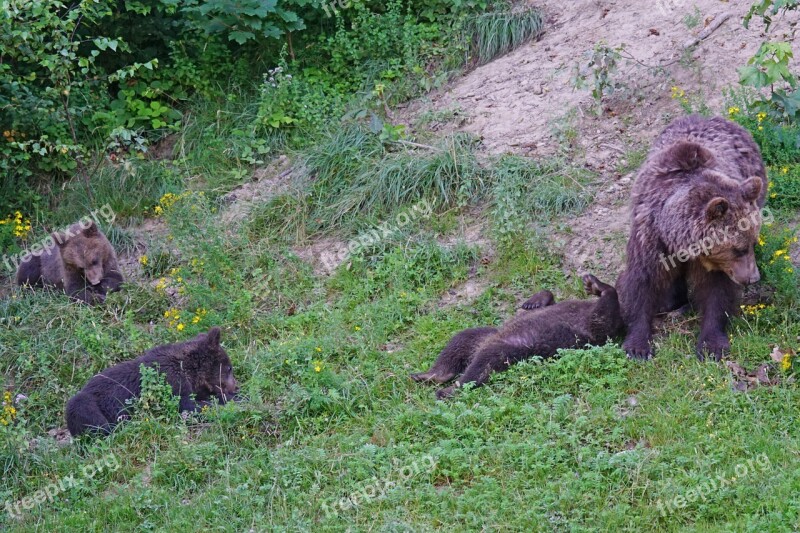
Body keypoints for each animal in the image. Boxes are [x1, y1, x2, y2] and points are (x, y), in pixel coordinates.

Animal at [616, 114, 764, 360]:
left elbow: (716, 292)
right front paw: (637, 345)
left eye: (752, 243)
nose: (752, 278)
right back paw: (671, 300)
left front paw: (711, 344)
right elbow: (642, 282)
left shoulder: (716, 264)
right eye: (739, 249)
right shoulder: (650, 238)